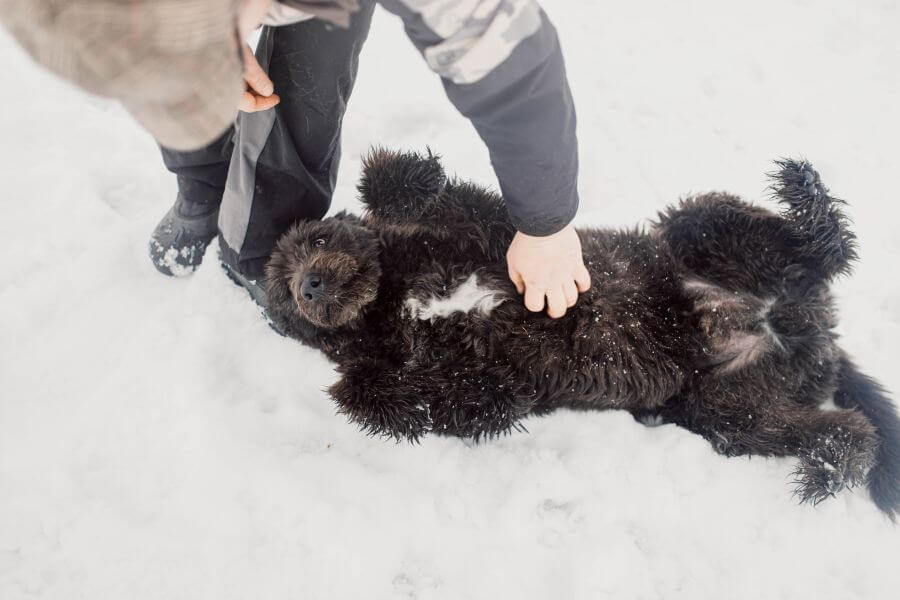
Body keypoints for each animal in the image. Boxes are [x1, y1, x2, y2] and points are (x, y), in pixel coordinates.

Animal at [264, 149, 900, 516]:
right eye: (282, 294)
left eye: (316, 240)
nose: (310, 286)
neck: (395, 300)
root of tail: (799, 324)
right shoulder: (459, 379)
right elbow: (406, 396)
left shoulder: (486, 232)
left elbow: (420, 193)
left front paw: (411, 179)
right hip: (730, 410)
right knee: (845, 431)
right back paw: (825, 469)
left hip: (701, 231)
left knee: (816, 249)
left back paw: (805, 194)